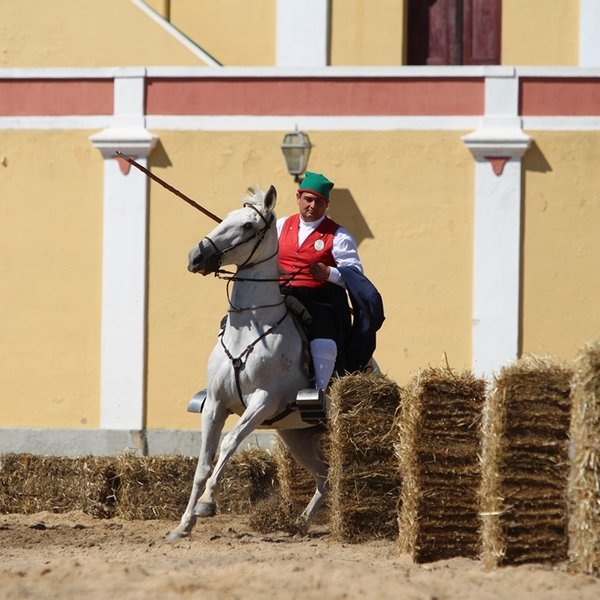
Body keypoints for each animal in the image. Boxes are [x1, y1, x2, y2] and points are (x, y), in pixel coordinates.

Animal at [169, 184, 328, 540]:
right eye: (225, 218)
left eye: (247, 226)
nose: (195, 257)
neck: (249, 329)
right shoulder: (215, 404)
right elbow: (204, 463)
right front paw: (184, 524)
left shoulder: (262, 402)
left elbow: (229, 444)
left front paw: (207, 504)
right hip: (296, 437)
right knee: (325, 476)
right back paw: (301, 522)